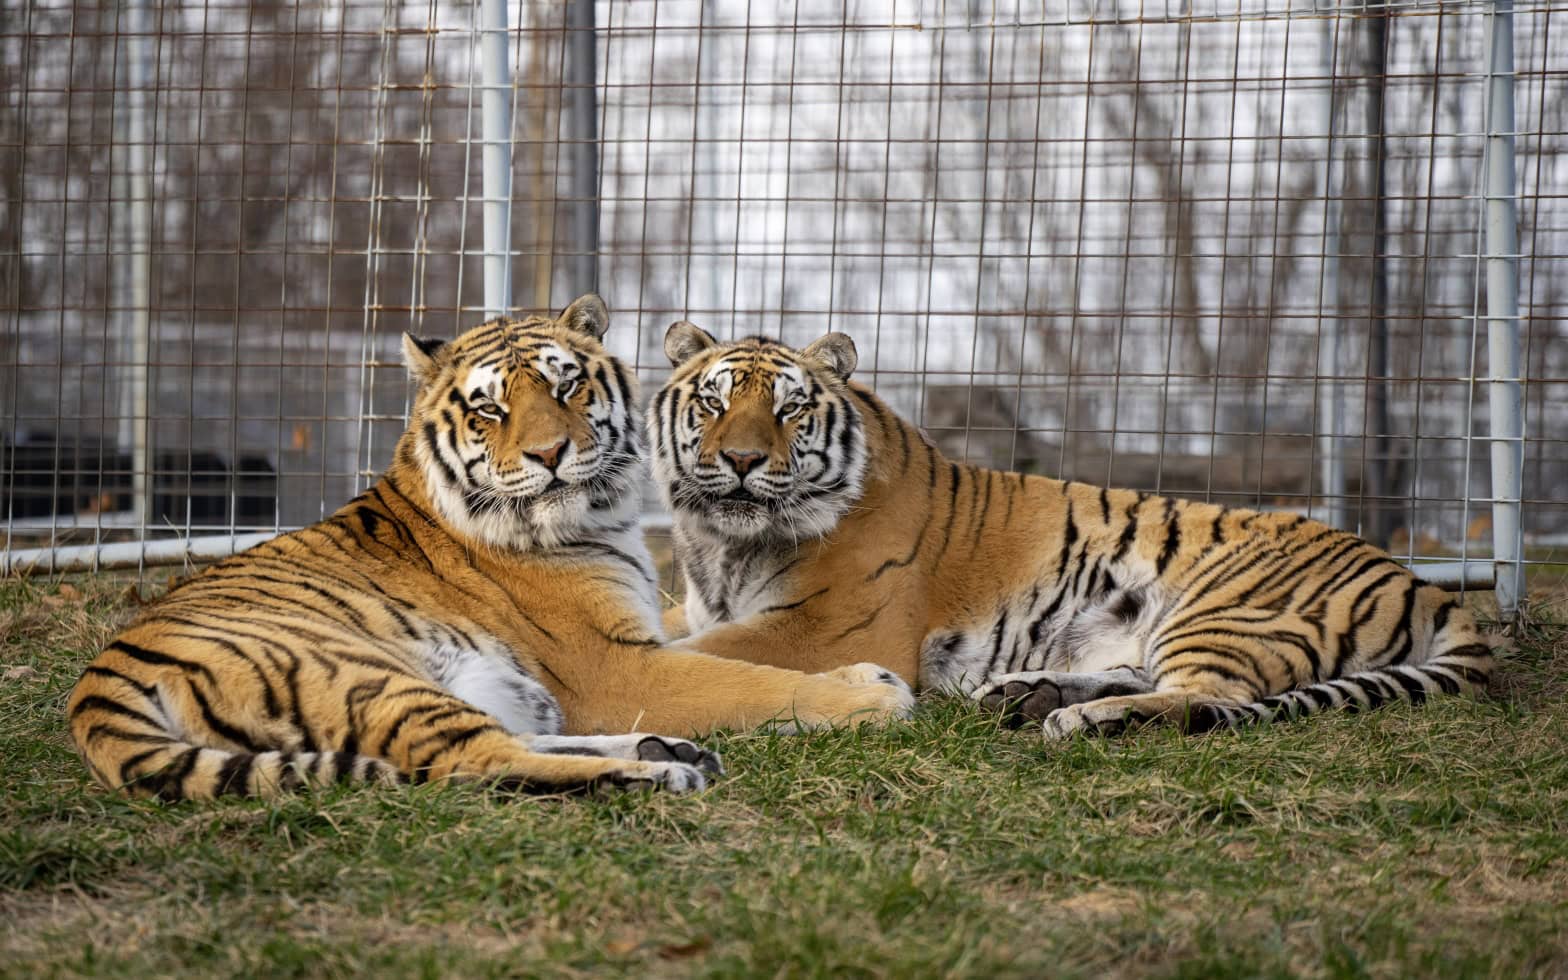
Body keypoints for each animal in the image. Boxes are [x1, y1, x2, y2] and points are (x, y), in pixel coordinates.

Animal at [67, 294, 915, 799]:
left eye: (567, 386)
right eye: (489, 409)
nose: (548, 454)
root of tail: (99, 681)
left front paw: (863, 674)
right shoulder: (616, 664)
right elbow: (753, 678)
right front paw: (870, 696)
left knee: (516, 740)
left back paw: (668, 751)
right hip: (367, 675)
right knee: (476, 762)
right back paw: (658, 774)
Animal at [646, 321, 1492, 733]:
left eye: (789, 408)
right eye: (714, 402)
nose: (744, 459)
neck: (722, 544)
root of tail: (1421, 582)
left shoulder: (829, 626)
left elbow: (707, 654)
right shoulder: (701, 603)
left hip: (1228, 609)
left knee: (1205, 698)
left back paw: (1081, 718)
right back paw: (1027, 694)